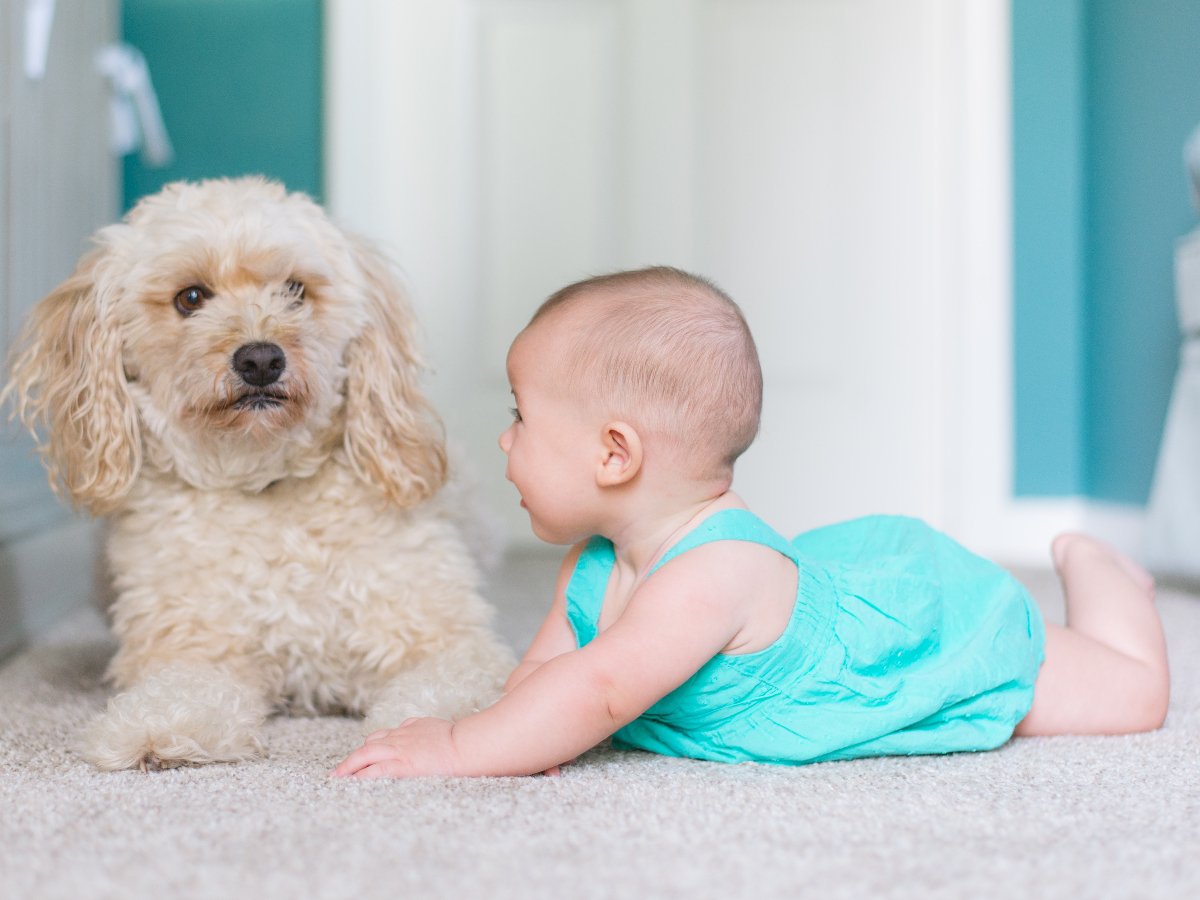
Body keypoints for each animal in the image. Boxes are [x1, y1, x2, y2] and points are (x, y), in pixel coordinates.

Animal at [3, 177, 516, 777]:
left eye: (295, 290)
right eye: (191, 298)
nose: (261, 360)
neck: (264, 482)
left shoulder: (446, 639)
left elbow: (452, 689)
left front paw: (431, 734)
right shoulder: (194, 647)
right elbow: (183, 690)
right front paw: (156, 728)